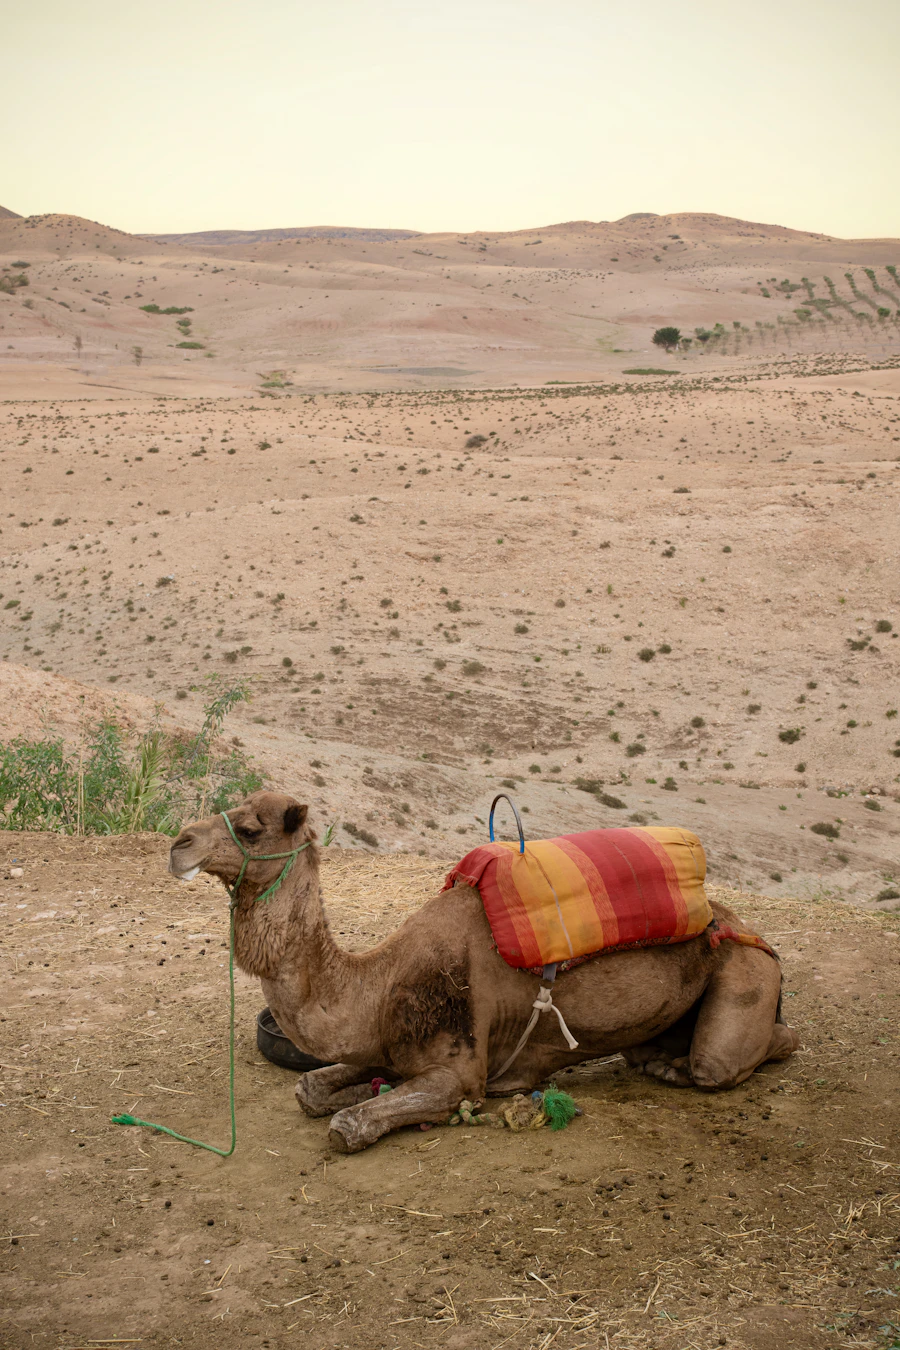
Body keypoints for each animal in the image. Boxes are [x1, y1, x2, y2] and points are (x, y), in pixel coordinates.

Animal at [168, 791, 799, 1153]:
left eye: (251, 828)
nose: (179, 843)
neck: (379, 982)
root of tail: (734, 921)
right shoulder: (386, 1045)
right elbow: (308, 1088)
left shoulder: (459, 1072)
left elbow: (348, 1126)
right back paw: (661, 1062)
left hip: (745, 971)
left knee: (740, 1054)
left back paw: (686, 1067)